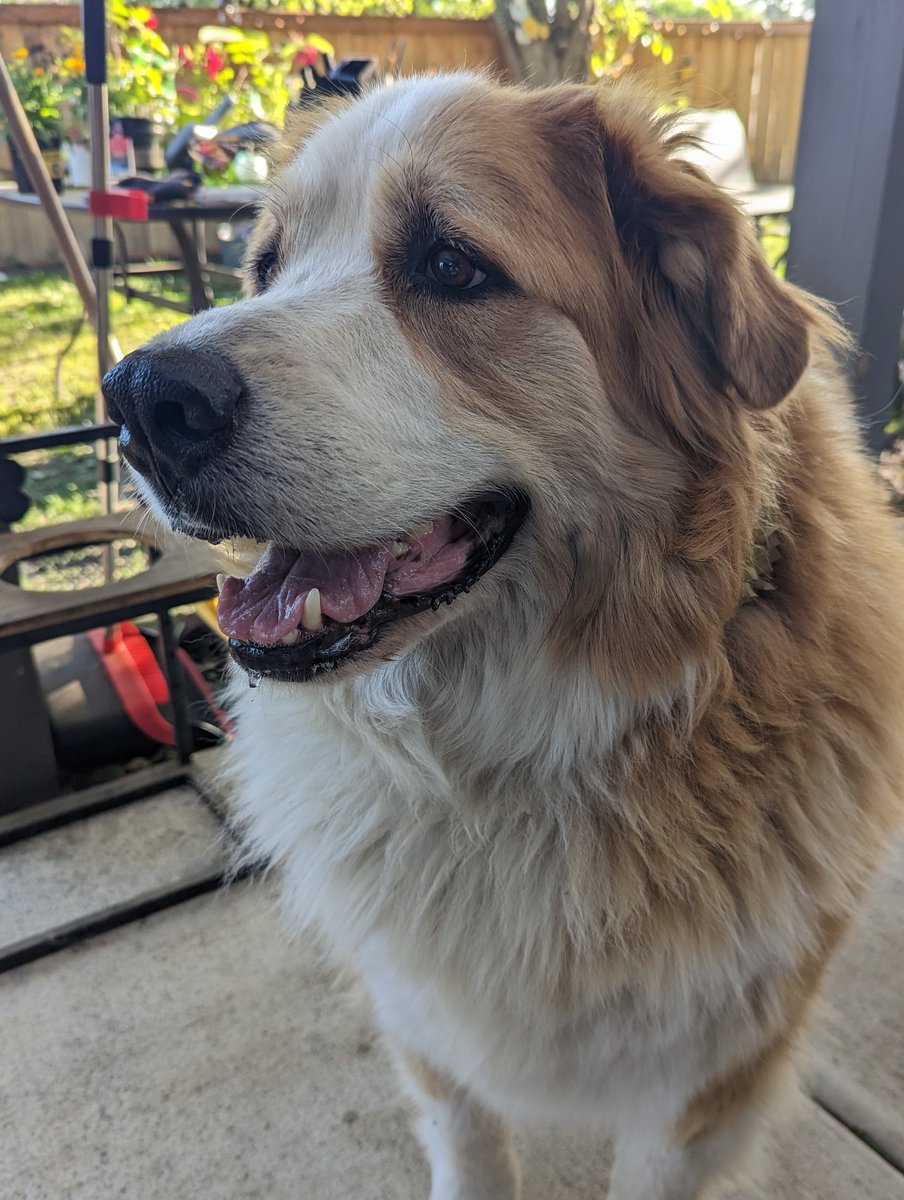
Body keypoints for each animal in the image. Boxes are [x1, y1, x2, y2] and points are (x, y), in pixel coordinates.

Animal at [102, 77, 902, 1200]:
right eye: (264, 267)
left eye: (452, 266)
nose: (138, 400)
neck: (501, 763)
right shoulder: (430, 1033)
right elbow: (471, 1152)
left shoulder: (706, 1083)